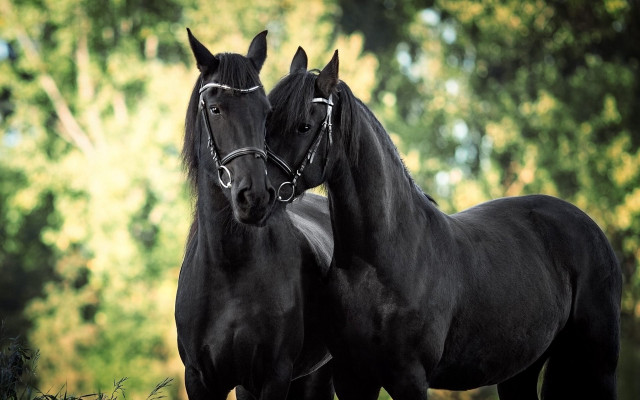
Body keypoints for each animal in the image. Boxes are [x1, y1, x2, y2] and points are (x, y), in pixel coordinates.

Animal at [174, 30, 334, 400]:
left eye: (265, 113)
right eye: (215, 109)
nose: (255, 198)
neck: (230, 268)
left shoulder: (273, 376)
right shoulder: (201, 379)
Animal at [262, 47, 622, 399]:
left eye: (303, 126)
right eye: (265, 120)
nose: (257, 191)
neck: (382, 261)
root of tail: (590, 228)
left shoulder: (409, 379)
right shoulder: (353, 378)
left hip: (598, 365)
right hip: (520, 370)